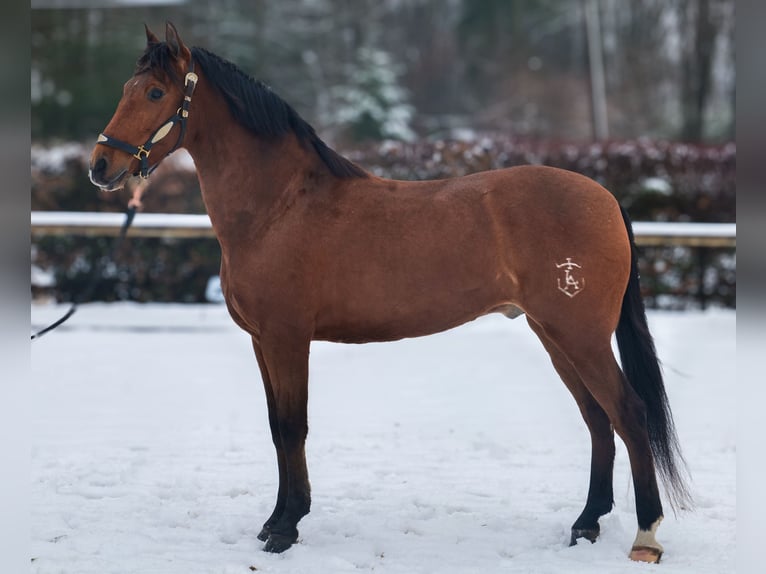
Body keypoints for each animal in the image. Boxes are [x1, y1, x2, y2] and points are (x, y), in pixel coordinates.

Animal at [89, 22, 690, 563]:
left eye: (156, 92)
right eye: (125, 89)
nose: (100, 165)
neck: (279, 205)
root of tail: (604, 196)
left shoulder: (287, 339)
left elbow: (293, 427)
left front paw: (286, 529)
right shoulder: (263, 342)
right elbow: (277, 428)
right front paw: (275, 521)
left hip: (580, 336)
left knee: (629, 413)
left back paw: (645, 537)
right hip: (555, 335)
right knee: (597, 419)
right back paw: (586, 524)